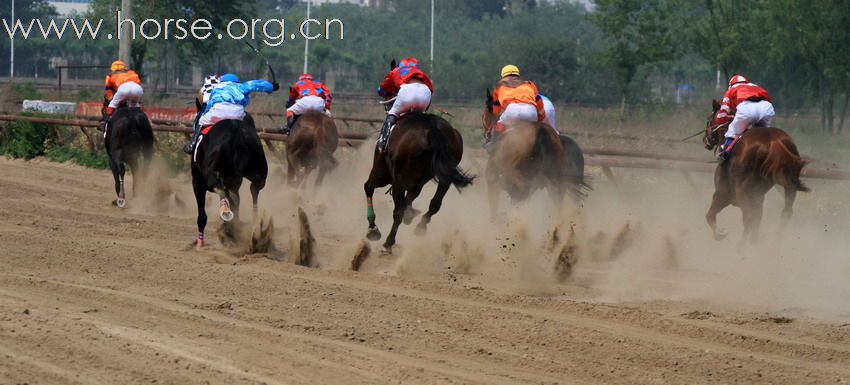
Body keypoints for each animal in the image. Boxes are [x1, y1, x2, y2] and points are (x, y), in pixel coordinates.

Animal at [190, 112, 266, 248]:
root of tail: (237, 136)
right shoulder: (234, 183)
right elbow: (236, 199)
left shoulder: (197, 180)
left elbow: (202, 215)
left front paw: (200, 243)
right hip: (259, 170)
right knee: (254, 189)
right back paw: (253, 224)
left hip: (209, 175)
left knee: (220, 189)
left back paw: (226, 215)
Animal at [362, 111, 474, 250]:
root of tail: (432, 128)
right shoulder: (417, 183)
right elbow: (411, 199)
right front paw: (410, 214)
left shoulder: (382, 174)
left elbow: (368, 187)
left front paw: (373, 229)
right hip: (444, 178)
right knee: (435, 204)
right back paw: (420, 226)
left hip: (396, 179)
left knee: (398, 211)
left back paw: (388, 242)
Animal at [480, 88, 588, 218]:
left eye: (486, 111)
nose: (487, 135)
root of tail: (541, 130)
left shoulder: (493, 182)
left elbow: (494, 212)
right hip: (557, 181)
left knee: (521, 190)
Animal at [704, 98, 808, 243]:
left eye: (708, 119)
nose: (705, 140)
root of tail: (773, 141)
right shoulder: (758, 198)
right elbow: (757, 220)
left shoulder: (723, 194)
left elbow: (709, 216)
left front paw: (720, 233)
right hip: (788, 184)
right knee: (786, 213)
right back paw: (775, 240)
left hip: (741, 189)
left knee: (748, 219)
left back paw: (740, 247)